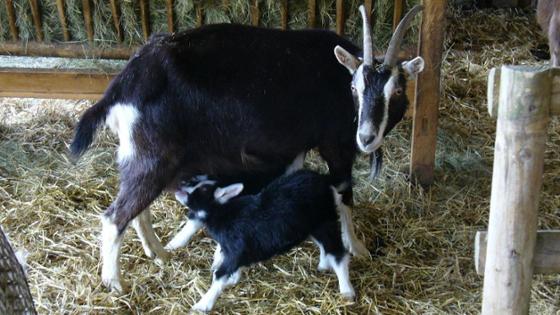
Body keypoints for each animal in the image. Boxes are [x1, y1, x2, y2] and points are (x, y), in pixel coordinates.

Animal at [71, 4, 424, 292]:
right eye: (355, 87)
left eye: (397, 90)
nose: (366, 137)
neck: (336, 78)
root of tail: (125, 84)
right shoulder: (335, 143)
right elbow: (344, 192)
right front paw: (357, 247)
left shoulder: (294, 148)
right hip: (154, 158)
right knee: (115, 217)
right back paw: (115, 283)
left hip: (145, 158)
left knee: (136, 209)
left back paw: (158, 252)